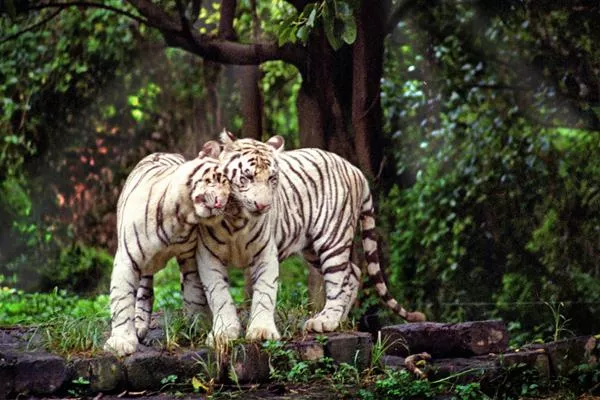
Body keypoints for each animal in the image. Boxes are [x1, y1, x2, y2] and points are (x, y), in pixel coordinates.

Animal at [104, 141, 229, 356]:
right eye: (213, 180)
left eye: (230, 189)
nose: (222, 202)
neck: (180, 218)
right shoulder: (127, 259)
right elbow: (122, 301)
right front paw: (121, 342)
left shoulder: (189, 257)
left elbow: (194, 293)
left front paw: (197, 328)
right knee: (144, 291)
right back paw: (139, 326)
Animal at [195, 131, 424, 344]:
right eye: (247, 177)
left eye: (272, 178)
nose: (264, 206)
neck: (236, 219)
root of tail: (355, 169)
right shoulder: (208, 257)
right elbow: (219, 296)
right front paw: (223, 333)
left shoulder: (265, 254)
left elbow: (264, 293)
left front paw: (261, 332)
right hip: (312, 249)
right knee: (353, 272)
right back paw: (339, 319)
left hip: (332, 238)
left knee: (339, 279)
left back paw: (326, 321)